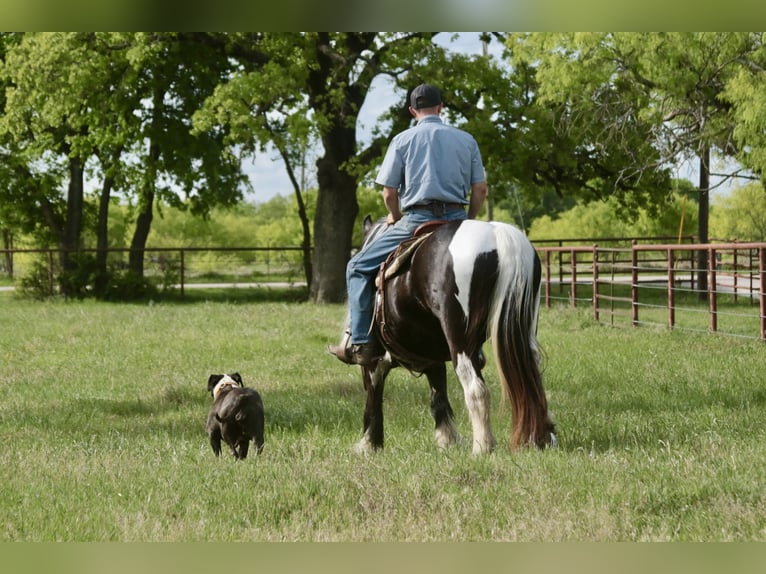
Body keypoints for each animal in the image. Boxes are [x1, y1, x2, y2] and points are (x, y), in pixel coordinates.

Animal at [344, 216, 556, 455]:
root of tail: (498, 235)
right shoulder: (431, 355)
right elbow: (438, 394)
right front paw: (448, 439)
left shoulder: (374, 361)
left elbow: (374, 395)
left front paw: (369, 443)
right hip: (524, 330)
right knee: (534, 376)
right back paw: (542, 436)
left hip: (461, 343)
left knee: (475, 389)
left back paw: (482, 447)